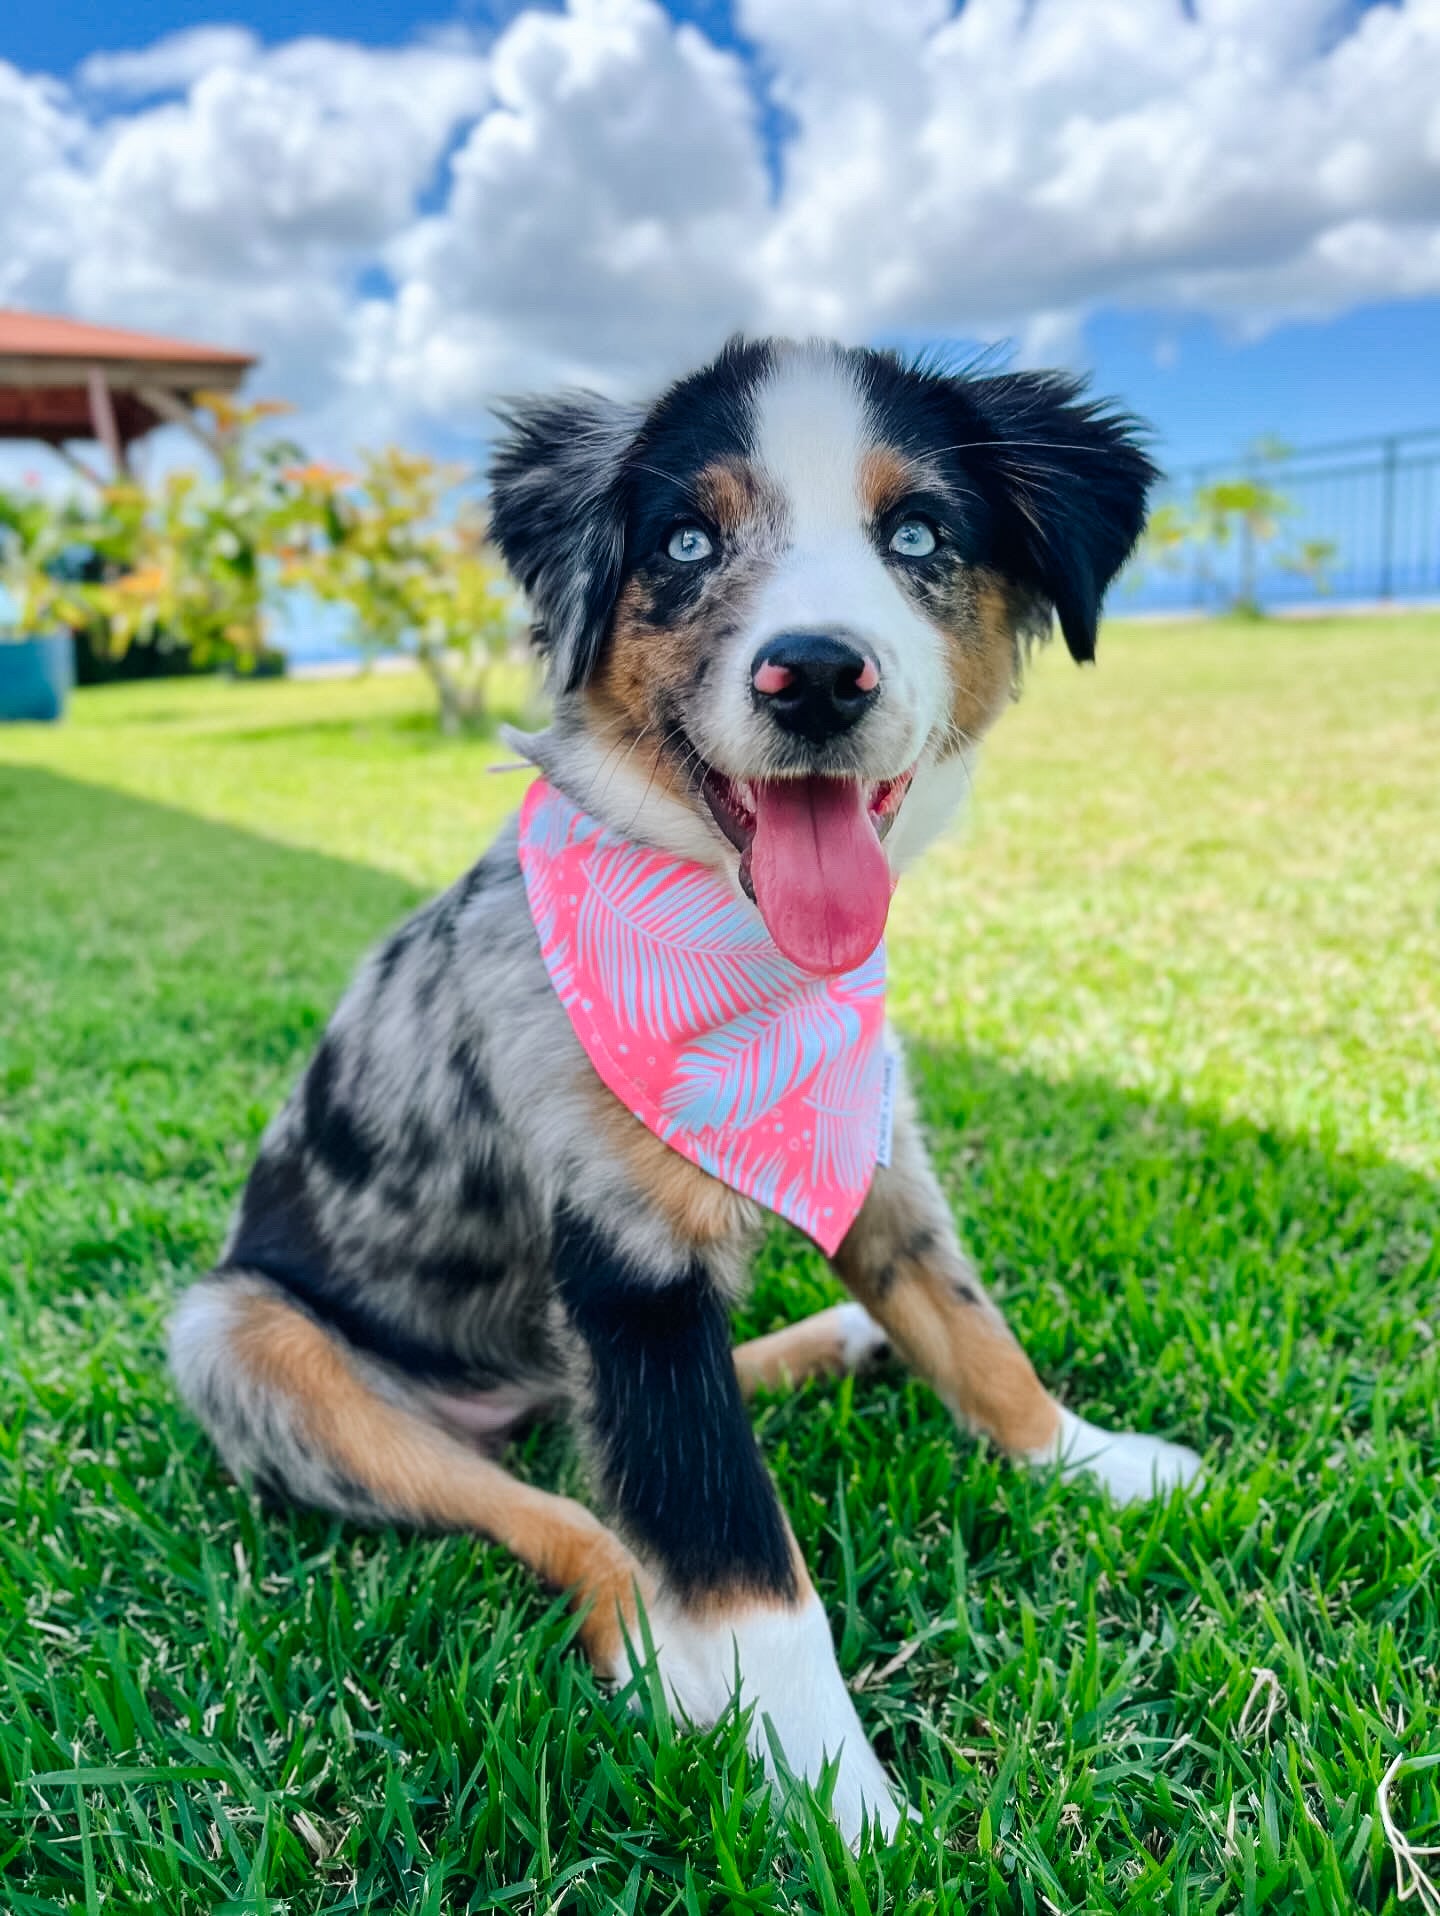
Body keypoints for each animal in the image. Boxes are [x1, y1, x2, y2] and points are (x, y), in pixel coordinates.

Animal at [171, 341, 1202, 1839]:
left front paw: (1088, 1456)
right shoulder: (630, 1275)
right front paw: (840, 1807)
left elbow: (974, 1330)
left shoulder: (877, 1156)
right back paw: (652, 1646)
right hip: (238, 1337)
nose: (817, 675)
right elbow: (741, 1569)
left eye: (918, 536)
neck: (744, 954)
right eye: (685, 542)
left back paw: (842, 1338)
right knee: (567, 1521)